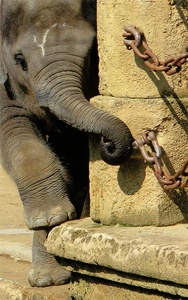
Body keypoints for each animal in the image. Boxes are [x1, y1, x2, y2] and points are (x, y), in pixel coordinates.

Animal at [0, 0, 132, 288]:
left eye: (93, 53)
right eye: (20, 61)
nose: (108, 144)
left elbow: (73, 155)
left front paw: (58, 219)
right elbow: (13, 128)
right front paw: (53, 217)